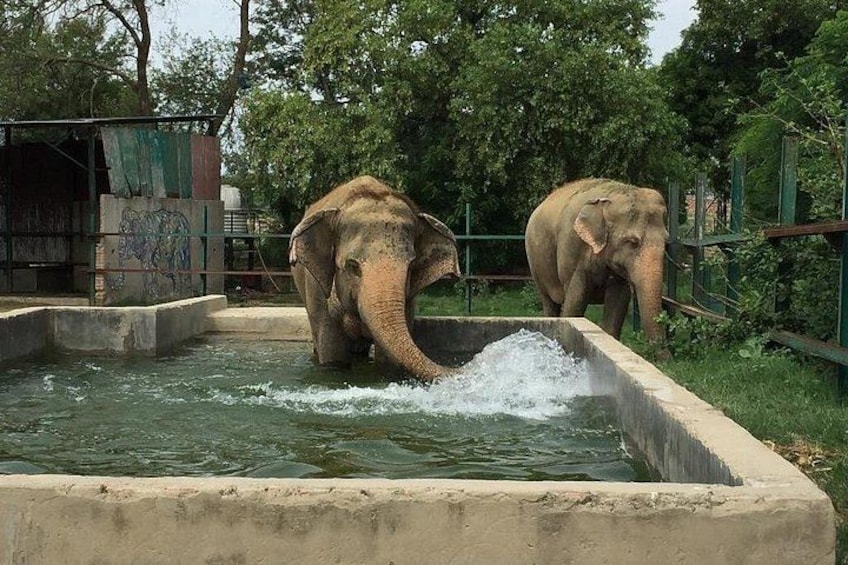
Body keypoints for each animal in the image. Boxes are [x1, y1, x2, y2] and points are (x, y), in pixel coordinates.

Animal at [524, 178, 668, 342]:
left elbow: (619, 300)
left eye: (666, 242)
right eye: (632, 242)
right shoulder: (572, 246)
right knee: (549, 303)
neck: (610, 195)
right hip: (535, 260)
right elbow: (575, 300)